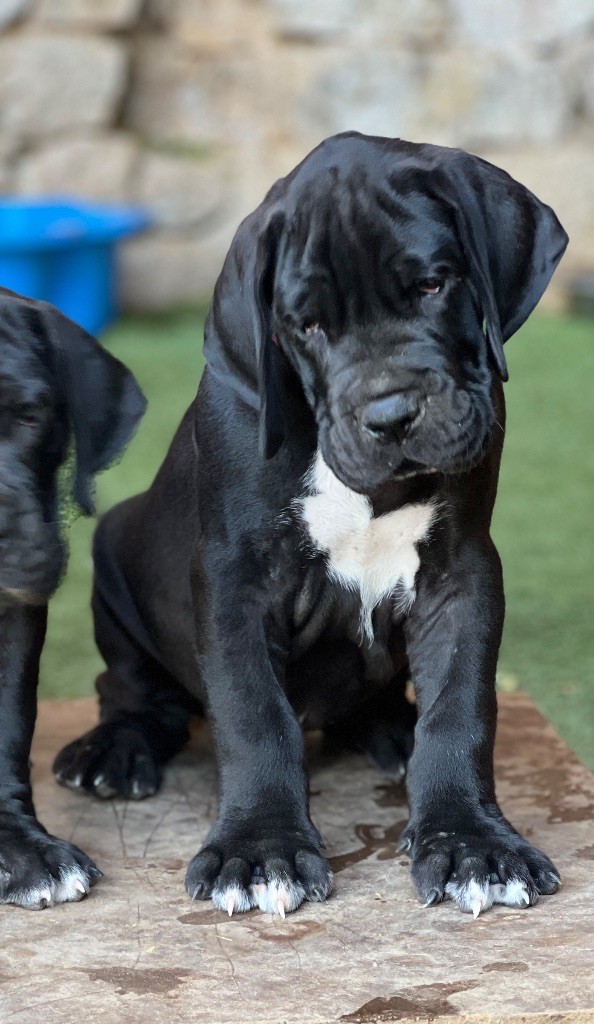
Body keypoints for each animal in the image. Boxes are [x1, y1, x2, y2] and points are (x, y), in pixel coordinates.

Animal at [54, 134, 565, 921]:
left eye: (432, 286)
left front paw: (473, 842)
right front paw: (259, 849)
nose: (391, 415)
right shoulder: (235, 581)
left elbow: (461, 709)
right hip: (116, 561)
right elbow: (253, 713)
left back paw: (391, 730)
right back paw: (115, 750)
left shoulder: (462, 574)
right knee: (134, 692)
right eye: (308, 325)